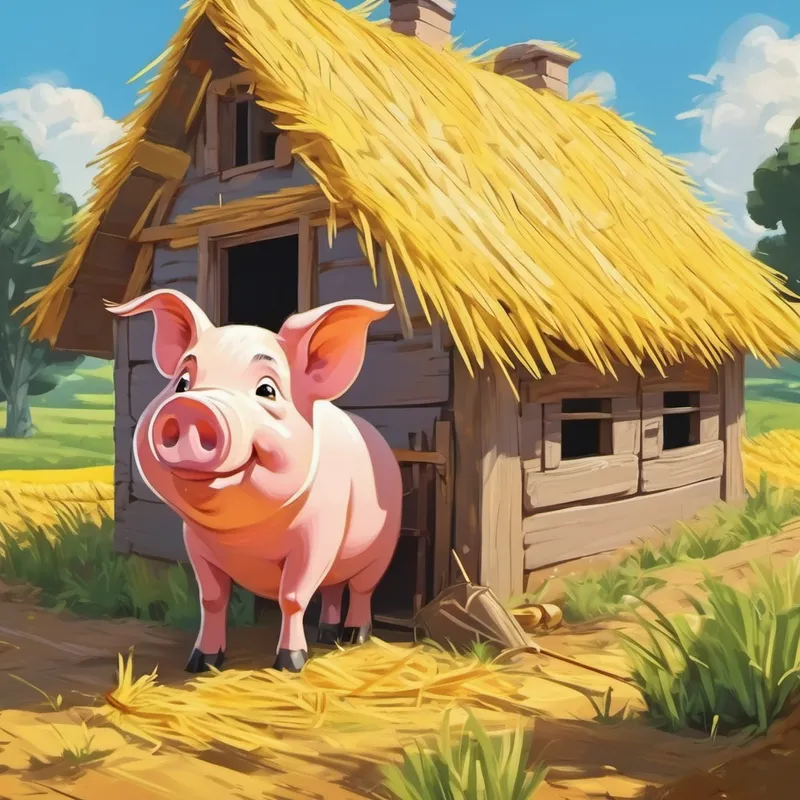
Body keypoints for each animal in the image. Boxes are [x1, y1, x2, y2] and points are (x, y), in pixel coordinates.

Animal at [107, 289, 403, 674]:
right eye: (182, 383)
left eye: (267, 390)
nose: (190, 408)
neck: (246, 536)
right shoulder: (196, 543)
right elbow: (212, 599)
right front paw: (201, 663)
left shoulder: (318, 535)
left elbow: (292, 597)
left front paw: (290, 665)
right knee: (332, 590)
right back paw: (326, 636)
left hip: (382, 548)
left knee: (362, 590)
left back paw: (355, 637)